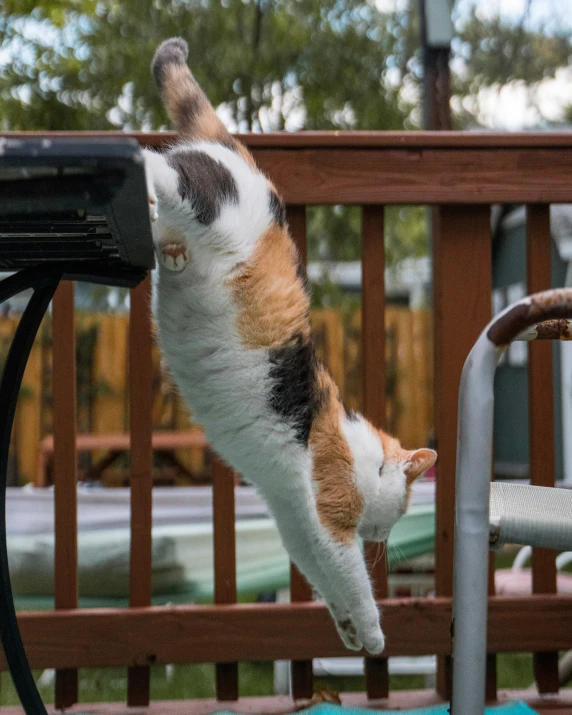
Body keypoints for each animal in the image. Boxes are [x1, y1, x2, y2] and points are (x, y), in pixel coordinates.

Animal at [145, 37, 436, 656]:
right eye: (402, 505)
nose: (384, 533)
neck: (358, 448)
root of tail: (241, 155)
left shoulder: (297, 521)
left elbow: (322, 578)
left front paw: (347, 629)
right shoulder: (331, 514)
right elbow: (354, 577)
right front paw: (374, 634)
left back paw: (172, 252)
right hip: (206, 196)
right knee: (154, 162)